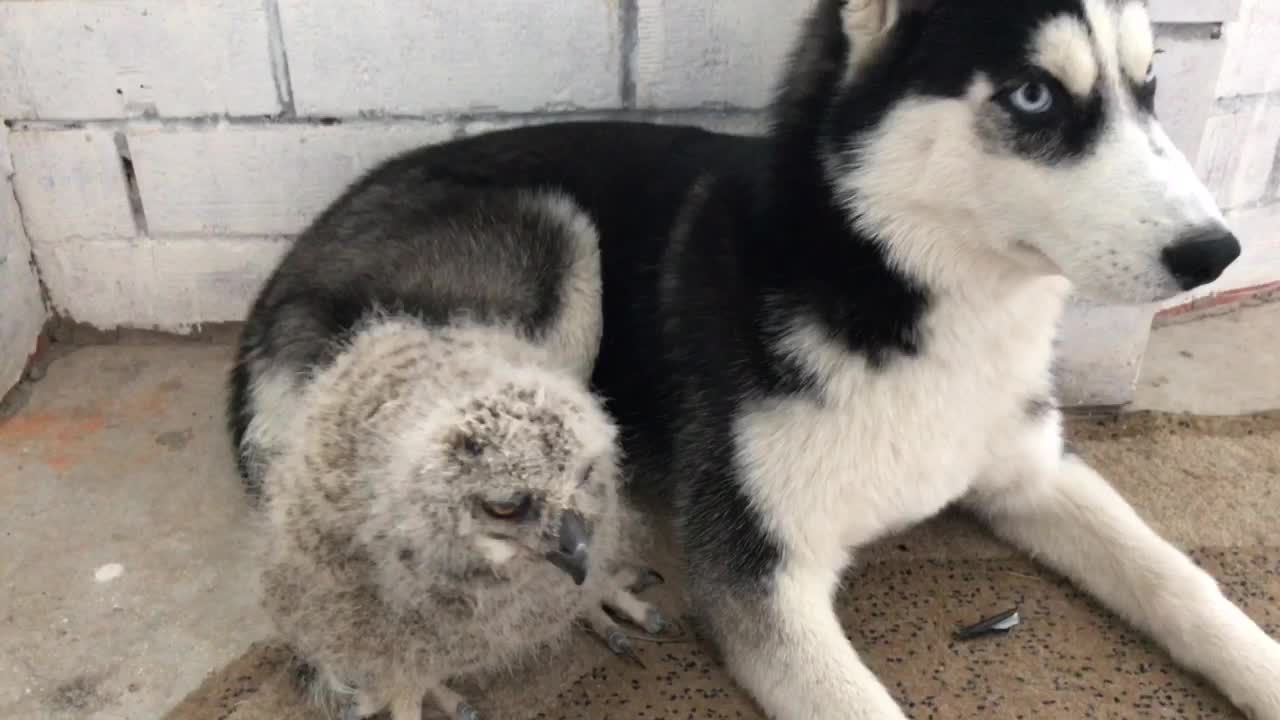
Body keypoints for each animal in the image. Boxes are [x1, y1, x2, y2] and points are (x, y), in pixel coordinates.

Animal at [232, 2, 1280, 712]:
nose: (1217, 253)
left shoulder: (1032, 474)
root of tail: (289, 266)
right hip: (554, 249)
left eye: (1149, 86)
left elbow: (1180, 579)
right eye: (1033, 93)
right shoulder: (761, 571)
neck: (894, 290)